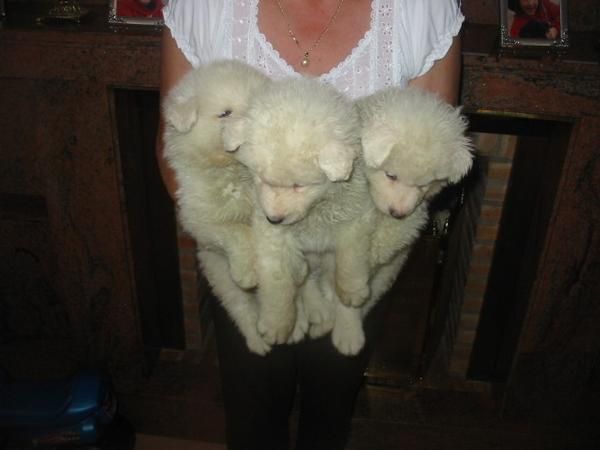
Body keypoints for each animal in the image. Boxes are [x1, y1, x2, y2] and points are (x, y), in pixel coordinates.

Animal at [161, 59, 270, 356]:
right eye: (225, 114)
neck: (230, 170)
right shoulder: (198, 219)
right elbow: (237, 231)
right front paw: (247, 270)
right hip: (222, 280)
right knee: (243, 311)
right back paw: (259, 341)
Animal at [225, 77, 376, 344]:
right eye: (261, 179)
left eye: (298, 186)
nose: (274, 218)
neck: (316, 212)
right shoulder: (274, 240)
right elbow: (278, 284)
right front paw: (277, 325)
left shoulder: (356, 215)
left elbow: (351, 257)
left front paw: (352, 291)